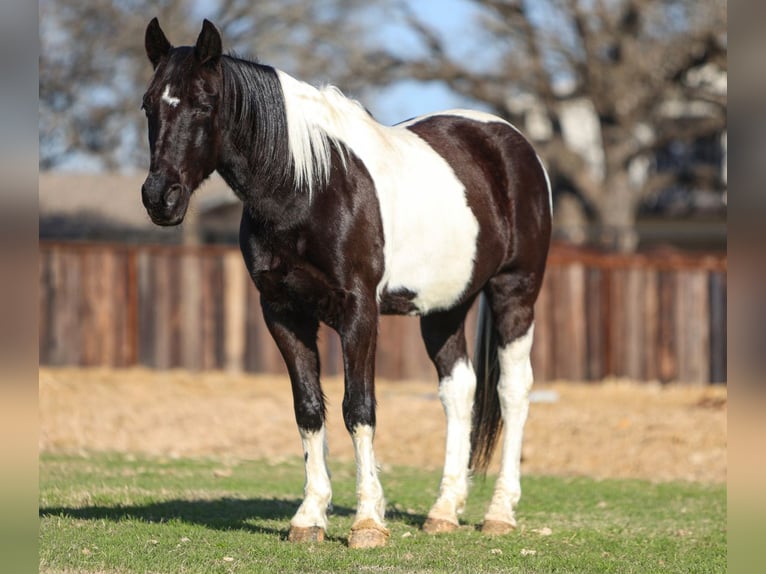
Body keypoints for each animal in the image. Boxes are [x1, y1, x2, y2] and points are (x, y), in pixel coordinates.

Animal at [141, 16, 556, 548]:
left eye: (204, 103)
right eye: (148, 104)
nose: (160, 198)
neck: (309, 187)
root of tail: (513, 142)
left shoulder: (359, 313)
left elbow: (358, 408)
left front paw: (367, 522)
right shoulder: (283, 313)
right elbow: (309, 408)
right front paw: (309, 516)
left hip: (515, 292)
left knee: (513, 390)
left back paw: (500, 512)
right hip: (445, 308)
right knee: (459, 390)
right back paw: (443, 510)